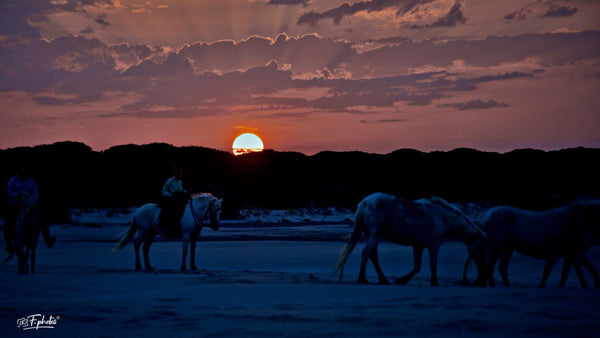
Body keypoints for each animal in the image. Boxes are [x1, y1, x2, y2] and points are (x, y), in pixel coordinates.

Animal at [332, 194, 488, 286]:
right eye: (481, 248)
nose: (482, 275)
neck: (443, 217)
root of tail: (365, 202)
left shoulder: (418, 246)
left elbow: (417, 267)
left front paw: (401, 280)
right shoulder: (434, 244)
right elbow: (433, 264)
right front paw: (434, 282)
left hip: (373, 236)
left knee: (372, 256)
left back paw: (383, 280)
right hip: (375, 236)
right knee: (366, 253)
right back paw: (362, 279)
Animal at [464, 202, 600, 290]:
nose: (588, 243)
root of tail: (482, 216)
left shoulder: (571, 254)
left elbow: (569, 273)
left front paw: (565, 286)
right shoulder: (555, 252)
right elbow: (548, 271)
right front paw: (541, 286)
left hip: (505, 248)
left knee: (498, 267)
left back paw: (501, 285)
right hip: (495, 247)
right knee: (492, 266)